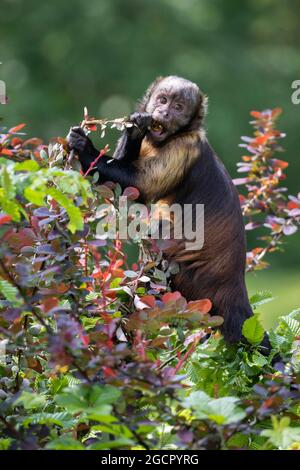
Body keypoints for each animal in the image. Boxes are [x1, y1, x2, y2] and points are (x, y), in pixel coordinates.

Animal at [66, 75, 264, 346]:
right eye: (162, 100)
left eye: (178, 107)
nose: (164, 112)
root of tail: (233, 284)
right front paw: (135, 127)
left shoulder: (184, 148)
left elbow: (138, 187)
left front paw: (85, 147)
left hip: (189, 278)